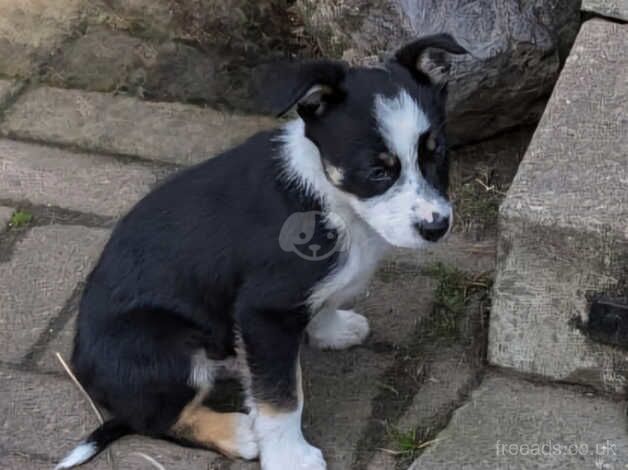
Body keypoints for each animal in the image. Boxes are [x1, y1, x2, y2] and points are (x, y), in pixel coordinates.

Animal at [57, 34, 466, 470]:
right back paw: (239, 432)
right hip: (166, 348)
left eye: (438, 153)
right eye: (377, 171)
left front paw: (333, 330)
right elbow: (282, 397)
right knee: (156, 418)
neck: (334, 200)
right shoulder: (265, 310)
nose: (437, 227)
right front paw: (290, 456)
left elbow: (324, 304)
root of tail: (84, 369)